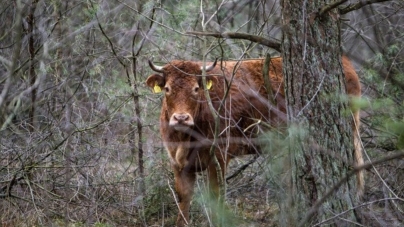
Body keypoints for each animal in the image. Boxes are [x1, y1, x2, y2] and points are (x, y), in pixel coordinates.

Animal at [146, 56, 362, 227]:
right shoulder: (178, 164)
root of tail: (345, 62)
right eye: (167, 89)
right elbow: (183, 199)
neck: (185, 138)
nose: (181, 118)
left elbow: (216, 195)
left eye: (196, 88)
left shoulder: (219, 157)